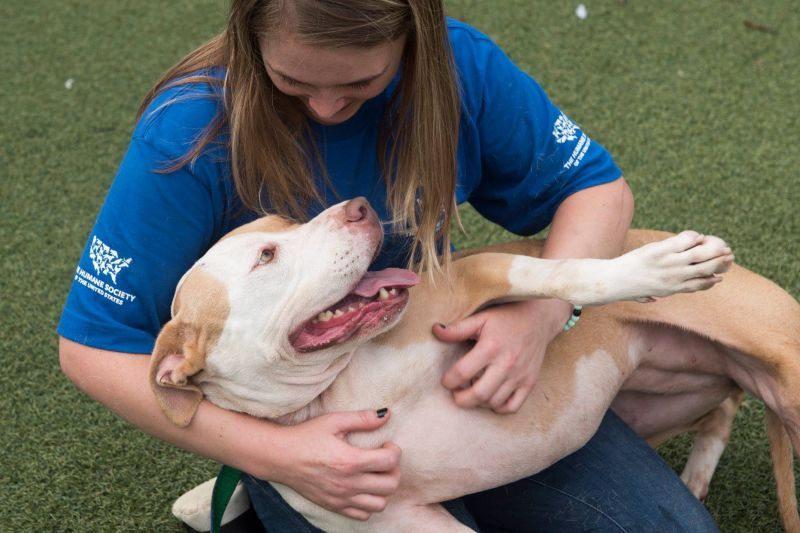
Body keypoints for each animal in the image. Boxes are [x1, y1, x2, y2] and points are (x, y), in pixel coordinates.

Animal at [152, 197, 800, 528]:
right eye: (267, 254)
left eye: (286, 220)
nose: (358, 207)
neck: (343, 388)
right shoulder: (402, 522)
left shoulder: (473, 278)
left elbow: (568, 272)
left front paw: (657, 270)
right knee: (724, 404)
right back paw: (695, 474)